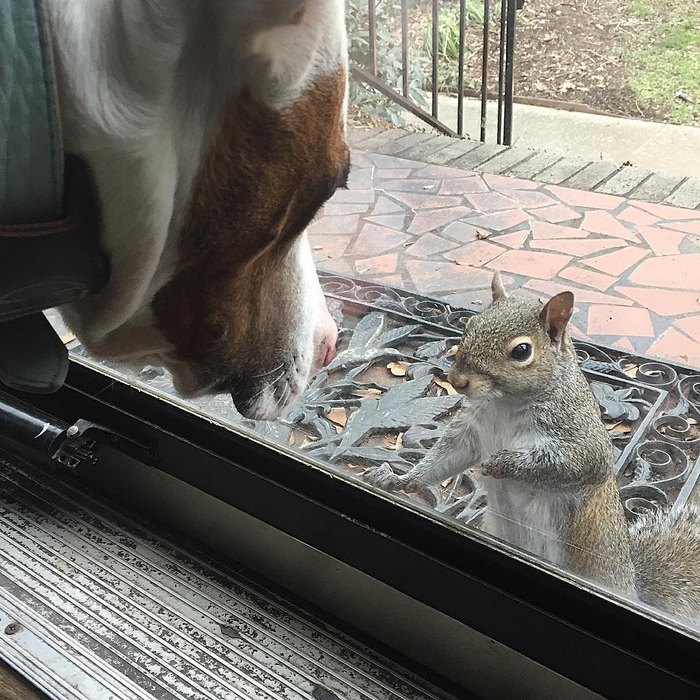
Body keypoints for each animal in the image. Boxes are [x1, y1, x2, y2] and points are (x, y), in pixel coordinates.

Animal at [364, 272, 700, 625]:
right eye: (470, 324)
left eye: (522, 351)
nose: (457, 381)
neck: (504, 404)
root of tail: (630, 584)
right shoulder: (470, 431)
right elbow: (445, 459)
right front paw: (400, 479)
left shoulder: (580, 440)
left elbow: (567, 465)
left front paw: (500, 464)